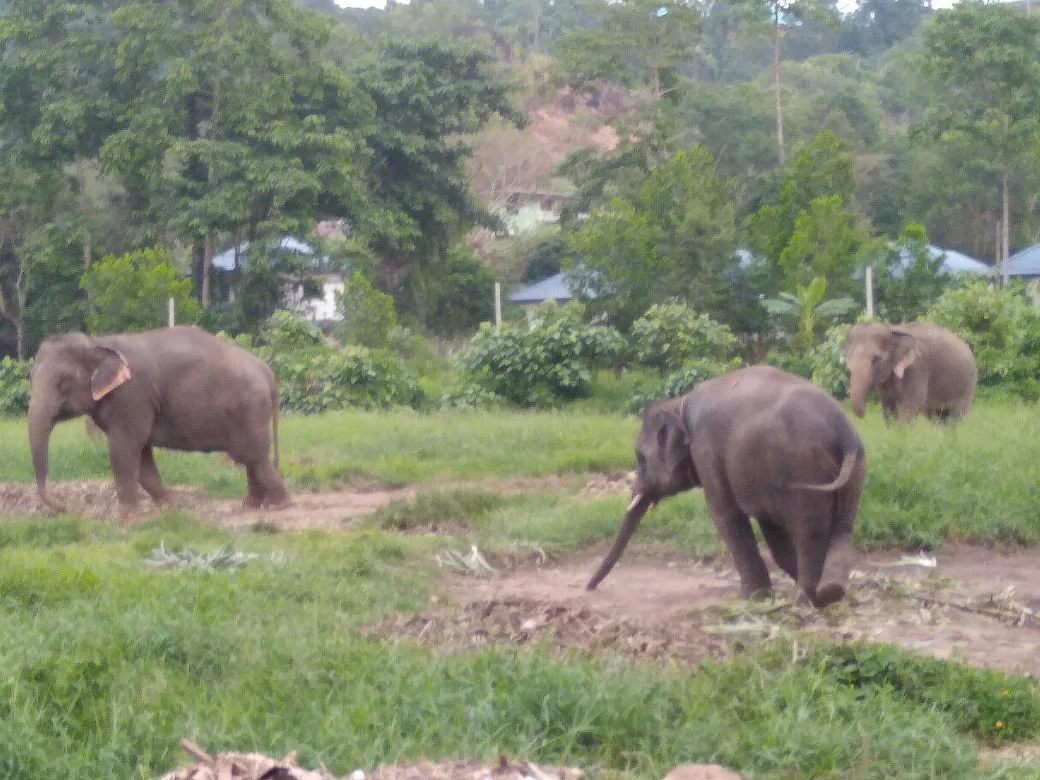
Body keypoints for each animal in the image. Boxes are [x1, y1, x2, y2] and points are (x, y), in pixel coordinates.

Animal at [28, 326, 289, 516]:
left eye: (62, 381)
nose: (66, 508)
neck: (97, 343)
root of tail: (267, 371)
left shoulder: (132, 396)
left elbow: (123, 449)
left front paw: (125, 516)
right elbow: (141, 454)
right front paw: (171, 506)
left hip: (249, 410)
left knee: (253, 455)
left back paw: (278, 505)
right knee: (251, 458)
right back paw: (251, 505)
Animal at [586, 365, 866, 609]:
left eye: (640, 459)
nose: (589, 588)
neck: (678, 403)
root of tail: (843, 432)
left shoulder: (706, 450)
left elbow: (724, 513)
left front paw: (750, 597)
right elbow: (772, 530)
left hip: (803, 468)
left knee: (809, 533)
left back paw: (803, 601)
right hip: (853, 471)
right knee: (843, 528)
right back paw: (831, 593)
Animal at [845, 321, 977, 425]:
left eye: (876, 359)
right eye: (848, 357)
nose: (865, 414)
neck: (893, 329)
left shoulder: (916, 368)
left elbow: (911, 406)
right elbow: (888, 409)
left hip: (967, 383)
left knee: (957, 416)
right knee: (938, 417)